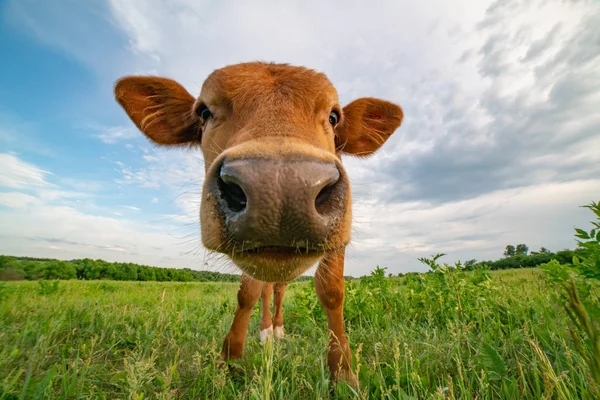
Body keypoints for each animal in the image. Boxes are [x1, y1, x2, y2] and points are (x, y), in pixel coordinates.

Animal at [112, 61, 404, 384]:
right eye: (204, 112)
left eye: (333, 116)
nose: (281, 186)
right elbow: (248, 293)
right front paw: (230, 358)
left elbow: (331, 290)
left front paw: (342, 372)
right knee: (267, 289)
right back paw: (267, 331)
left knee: (279, 288)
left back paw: (278, 328)